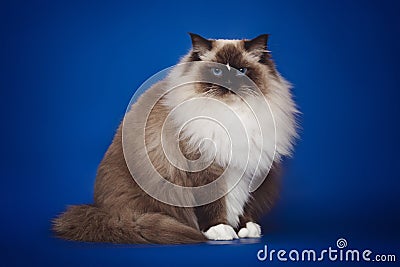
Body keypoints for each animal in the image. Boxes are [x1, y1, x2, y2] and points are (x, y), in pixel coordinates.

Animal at [52, 32, 296, 244]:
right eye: (217, 72)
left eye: (242, 71)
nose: (228, 84)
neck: (232, 114)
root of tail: (106, 212)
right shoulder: (205, 168)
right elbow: (213, 203)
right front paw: (219, 230)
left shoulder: (251, 166)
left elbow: (245, 203)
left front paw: (245, 228)